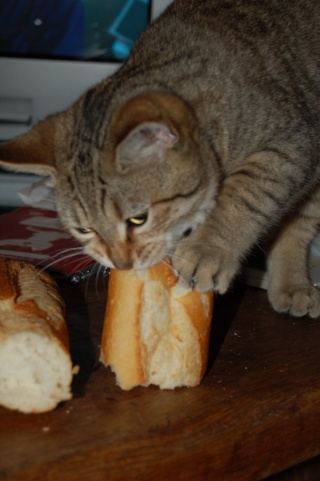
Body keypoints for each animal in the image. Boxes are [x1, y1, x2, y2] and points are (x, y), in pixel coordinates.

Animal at [0, 0, 320, 316]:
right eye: (85, 229)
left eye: (139, 219)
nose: (121, 264)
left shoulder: (293, 144)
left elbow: (245, 194)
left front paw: (208, 247)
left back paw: (294, 283)